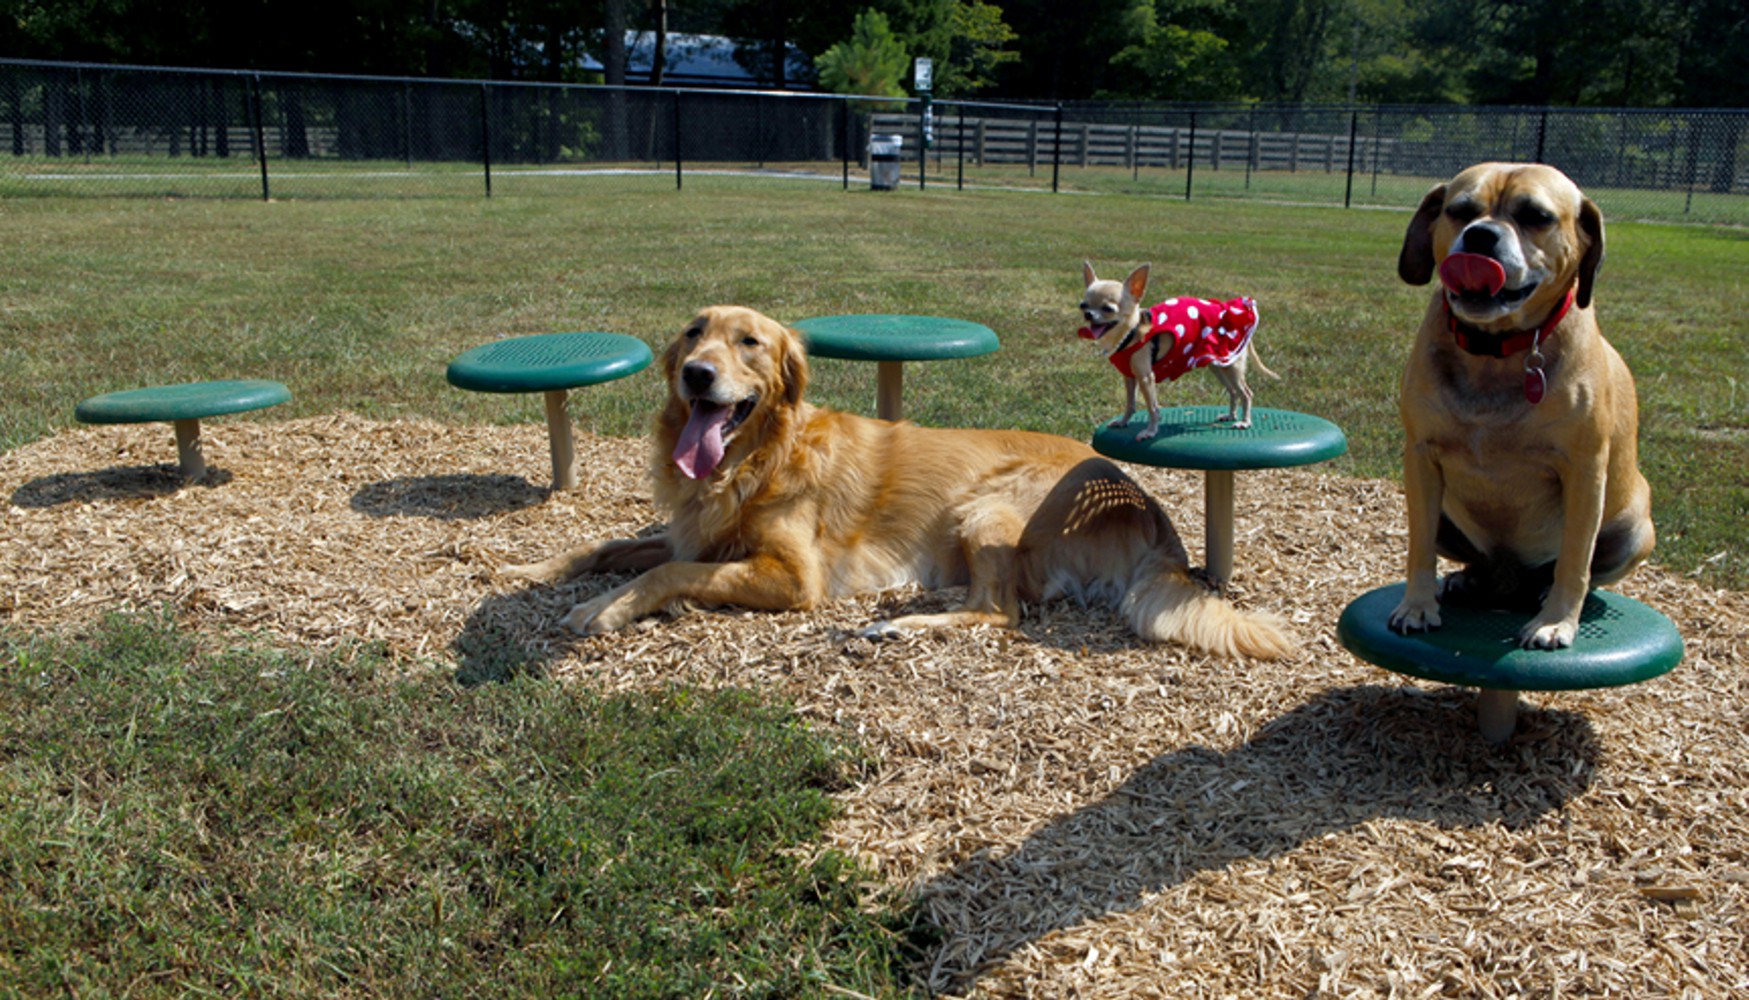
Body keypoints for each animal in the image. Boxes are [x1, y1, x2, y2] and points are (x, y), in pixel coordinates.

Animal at [1077, 262, 1273, 437]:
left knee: (1246, 393)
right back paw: (1231, 415)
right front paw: (1123, 421)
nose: (1088, 314)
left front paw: (1150, 431)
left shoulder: (1145, 378)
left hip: (1232, 367)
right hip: (1219, 366)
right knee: (1233, 391)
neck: (1131, 332)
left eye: (1108, 308)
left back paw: (1245, 422)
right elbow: (1130, 404)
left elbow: (1152, 407)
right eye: (1083, 305)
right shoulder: (1130, 377)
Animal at [1392, 164, 1651, 646]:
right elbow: (1419, 545)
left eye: (1536, 216)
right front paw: (1417, 605)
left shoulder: (1585, 471)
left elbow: (1575, 559)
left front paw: (1555, 621)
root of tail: (1509, 579)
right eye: (1460, 211)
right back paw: (1469, 578)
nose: (1480, 235)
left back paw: (1544, 592)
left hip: (1634, 530)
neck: (1496, 352)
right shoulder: (1421, 460)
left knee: (1581, 569)